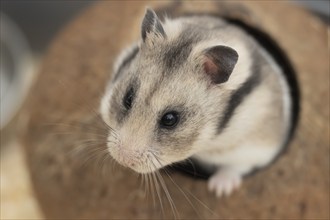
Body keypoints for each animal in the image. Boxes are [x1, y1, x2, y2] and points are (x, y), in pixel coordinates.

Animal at [100, 9, 294, 198]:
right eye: (128, 99)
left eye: (170, 119)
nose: (123, 160)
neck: (207, 140)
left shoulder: (258, 147)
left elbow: (236, 166)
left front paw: (219, 190)